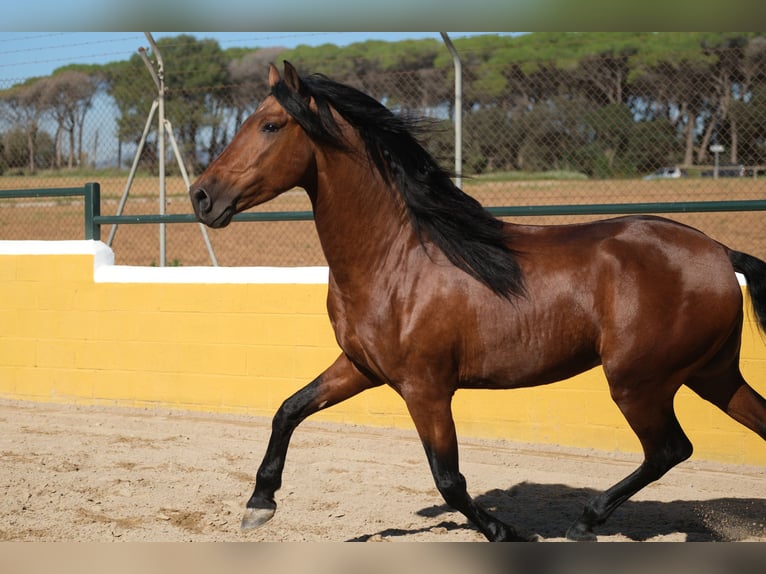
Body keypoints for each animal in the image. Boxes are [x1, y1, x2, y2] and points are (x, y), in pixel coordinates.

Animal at [188, 63, 766, 544]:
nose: (201, 197)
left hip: (637, 383)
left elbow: (448, 477)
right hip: (712, 375)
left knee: (669, 449)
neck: (396, 259)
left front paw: (504, 531)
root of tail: (719, 252)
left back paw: (586, 519)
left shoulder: (425, 389)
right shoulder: (360, 368)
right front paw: (259, 503)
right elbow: (288, 410)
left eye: (270, 126)